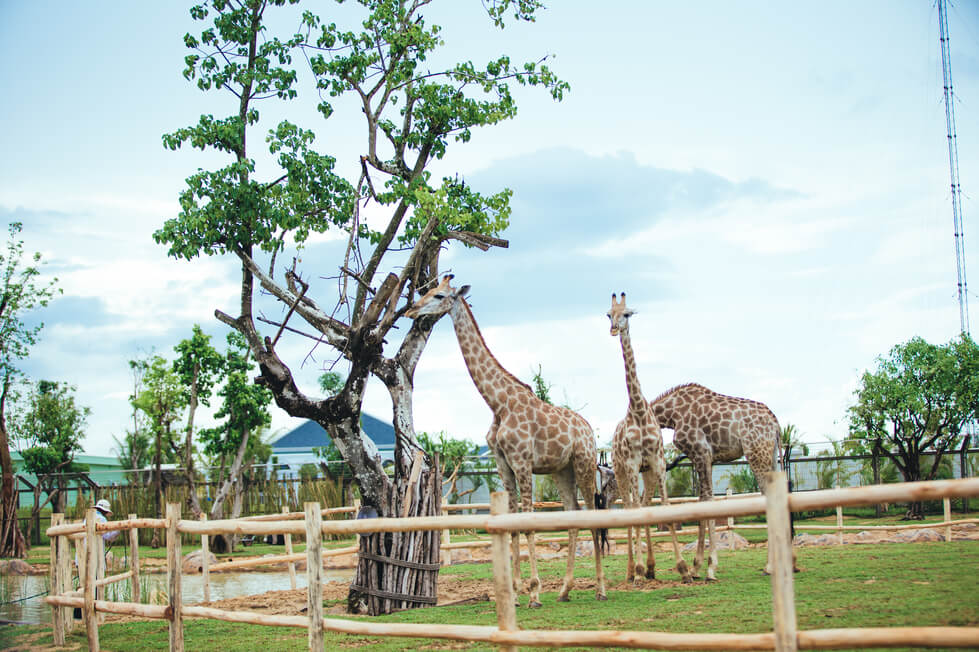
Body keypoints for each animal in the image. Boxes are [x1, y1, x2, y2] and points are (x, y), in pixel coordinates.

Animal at [406, 275, 607, 606]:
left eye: (438, 295)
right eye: (427, 291)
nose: (411, 310)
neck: (498, 404)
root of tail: (589, 430)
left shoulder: (522, 462)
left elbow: (527, 522)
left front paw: (534, 593)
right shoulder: (503, 464)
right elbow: (512, 521)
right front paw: (515, 592)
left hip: (584, 463)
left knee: (592, 513)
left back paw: (601, 589)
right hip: (561, 470)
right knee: (574, 514)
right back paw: (565, 590)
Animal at [606, 293, 691, 584]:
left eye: (627, 314)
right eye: (608, 314)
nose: (614, 329)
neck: (640, 412)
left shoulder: (657, 462)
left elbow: (663, 506)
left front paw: (683, 568)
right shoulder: (632, 464)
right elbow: (635, 511)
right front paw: (640, 570)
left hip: (647, 473)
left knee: (642, 504)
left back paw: (651, 567)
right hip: (621, 472)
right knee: (629, 507)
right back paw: (633, 570)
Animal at [650, 383, 782, 580]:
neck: (672, 414)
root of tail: (775, 423)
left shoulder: (701, 453)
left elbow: (708, 501)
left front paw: (708, 568)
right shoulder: (707, 459)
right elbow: (703, 500)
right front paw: (697, 568)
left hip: (756, 454)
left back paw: (769, 567)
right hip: (771, 456)